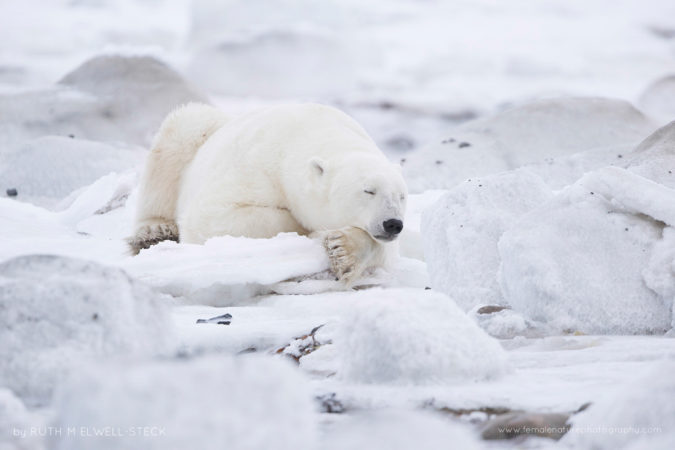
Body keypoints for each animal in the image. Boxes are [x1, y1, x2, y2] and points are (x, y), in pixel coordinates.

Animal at [129, 103, 408, 285]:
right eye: (368, 190)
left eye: (401, 196)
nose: (393, 223)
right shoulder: (253, 168)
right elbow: (213, 217)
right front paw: (309, 230)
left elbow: (386, 252)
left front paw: (343, 249)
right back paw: (154, 231)